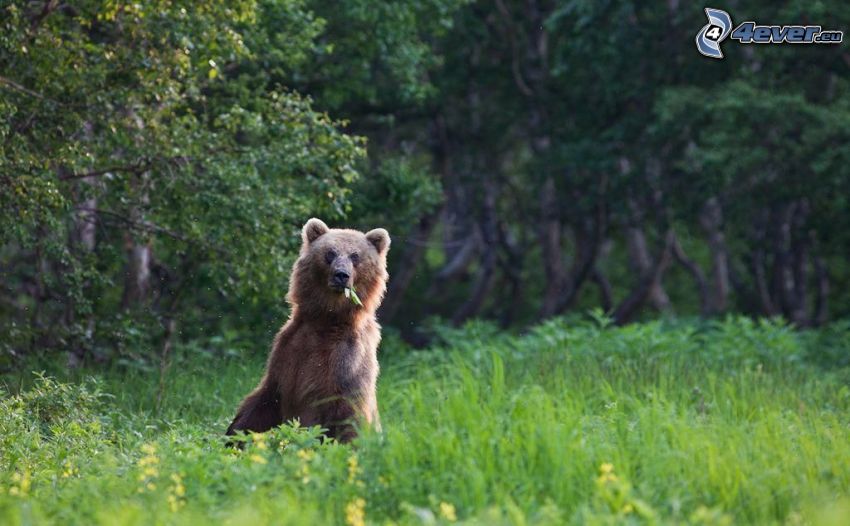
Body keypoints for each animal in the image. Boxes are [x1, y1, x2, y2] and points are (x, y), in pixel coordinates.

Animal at [222, 219, 388, 446]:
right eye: (330, 253)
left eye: (355, 256)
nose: (341, 275)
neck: (328, 320)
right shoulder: (289, 352)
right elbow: (262, 402)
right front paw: (232, 437)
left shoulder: (347, 362)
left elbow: (347, 417)